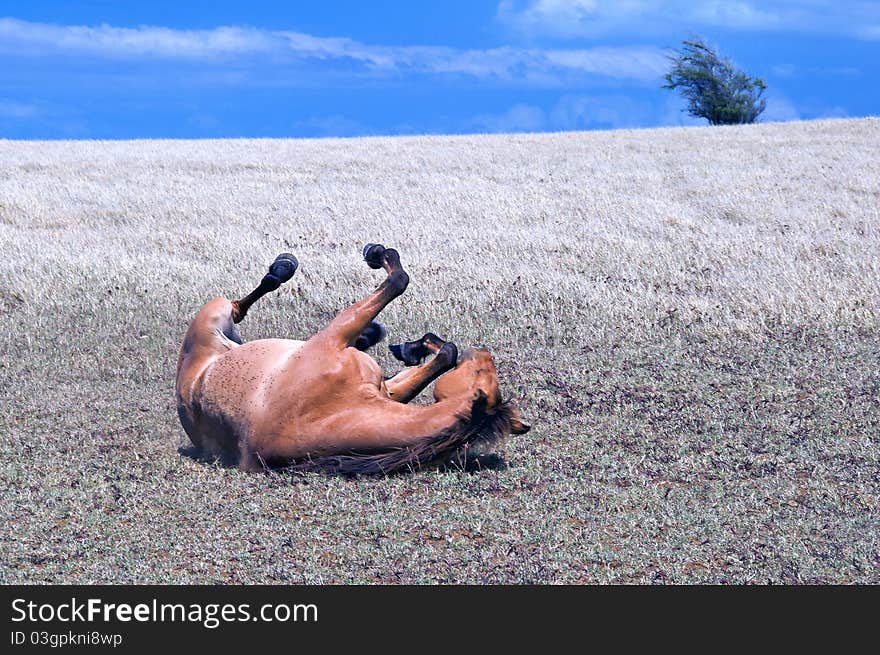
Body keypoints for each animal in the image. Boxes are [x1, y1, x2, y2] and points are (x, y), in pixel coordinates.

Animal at [173, 243, 528, 474]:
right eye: (483, 369)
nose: (482, 351)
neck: (326, 413)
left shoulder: (362, 367)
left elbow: (400, 286)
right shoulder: (347, 350)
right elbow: (438, 338)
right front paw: (413, 345)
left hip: (216, 313)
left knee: (241, 305)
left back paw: (287, 268)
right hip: (218, 311)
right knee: (244, 302)